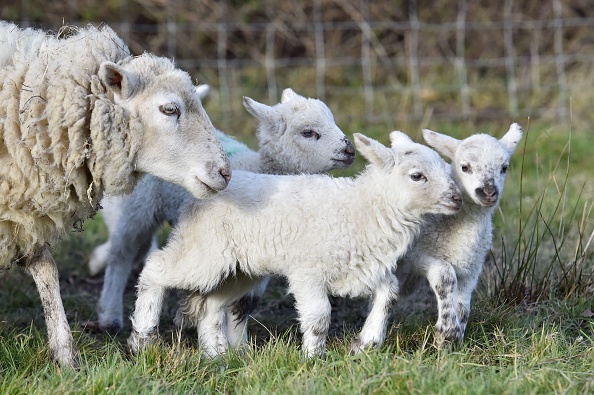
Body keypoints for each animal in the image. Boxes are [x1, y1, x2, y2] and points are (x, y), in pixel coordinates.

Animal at [396, 123, 520, 346]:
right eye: (465, 167)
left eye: (504, 168)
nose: (488, 192)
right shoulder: (421, 254)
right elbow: (445, 277)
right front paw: (446, 333)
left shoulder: (473, 265)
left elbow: (463, 303)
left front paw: (457, 337)